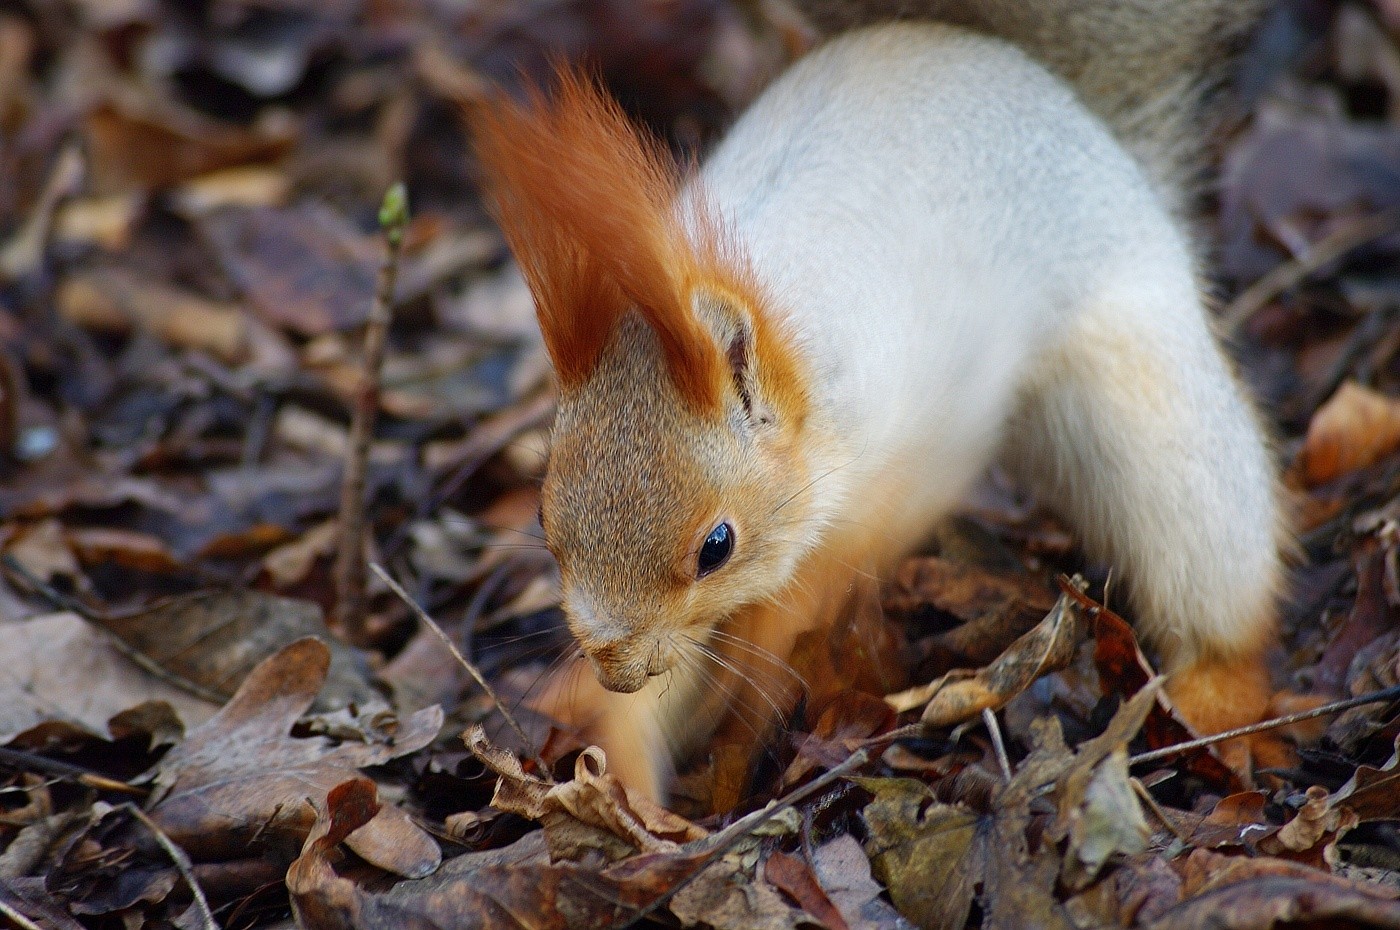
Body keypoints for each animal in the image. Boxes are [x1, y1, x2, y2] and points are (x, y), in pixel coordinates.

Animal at [473, 0, 1288, 801]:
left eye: (717, 547)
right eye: (543, 516)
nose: (614, 667)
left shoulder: (930, 433)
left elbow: (840, 568)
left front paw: (766, 656)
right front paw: (621, 751)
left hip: (1149, 412)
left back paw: (1219, 697)